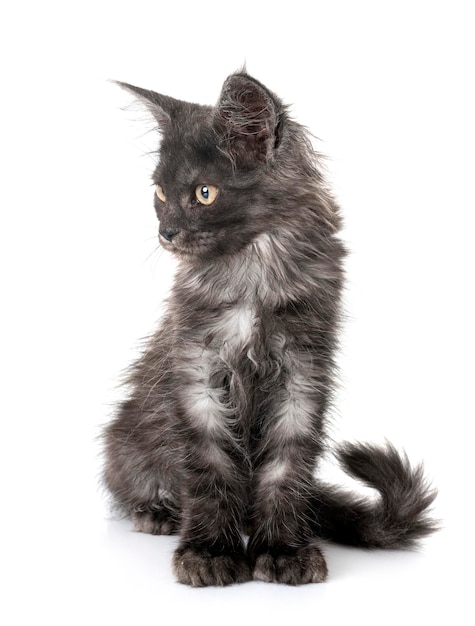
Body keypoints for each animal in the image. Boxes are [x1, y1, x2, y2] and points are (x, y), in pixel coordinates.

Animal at [105, 72, 438, 584]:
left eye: (203, 193)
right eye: (159, 194)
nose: (166, 232)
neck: (253, 269)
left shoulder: (303, 373)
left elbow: (287, 469)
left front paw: (284, 550)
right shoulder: (198, 373)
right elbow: (209, 467)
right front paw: (209, 552)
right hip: (125, 437)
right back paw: (158, 510)